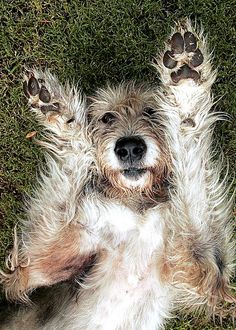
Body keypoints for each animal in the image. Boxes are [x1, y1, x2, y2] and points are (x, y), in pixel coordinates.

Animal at [0, 19, 236, 328]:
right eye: (107, 117)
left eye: (152, 112)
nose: (130, 147)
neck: (137, 206)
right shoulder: (36, 266)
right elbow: (64, 183)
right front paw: (62, 116)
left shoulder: (203, 267)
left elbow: (192, 161)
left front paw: (186, 86)